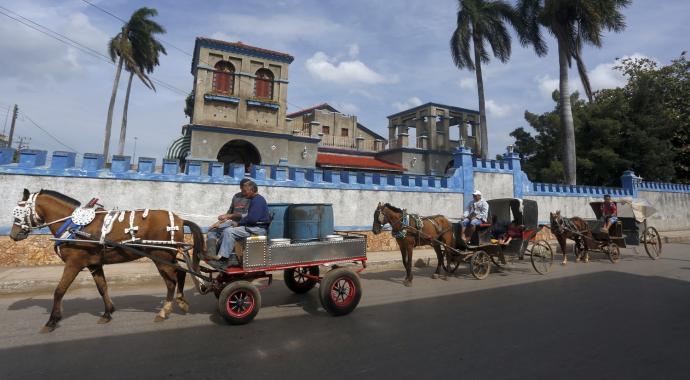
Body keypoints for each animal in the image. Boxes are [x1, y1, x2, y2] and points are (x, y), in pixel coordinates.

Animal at [8, 189, 202, 332]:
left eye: (19, 211)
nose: (13, 234)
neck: (73, 226)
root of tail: (180, 220)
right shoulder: (94, 264)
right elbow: (102, 288)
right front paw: (108, 313)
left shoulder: (73, 264)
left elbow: (59, 291)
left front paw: (52, 321)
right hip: (167, 256)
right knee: (181, 274)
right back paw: (181, 301)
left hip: (161, 257)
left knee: (172, 281)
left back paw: (164, 311)